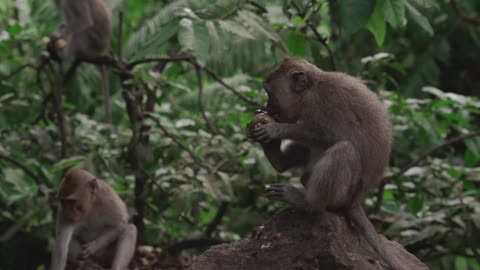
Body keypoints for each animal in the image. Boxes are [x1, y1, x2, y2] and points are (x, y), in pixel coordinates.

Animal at [249, 58, 410, 270]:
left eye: (270, 93)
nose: (267, 106)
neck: (310, 90)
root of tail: (355, 200)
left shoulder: (322, 104)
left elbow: (324, 134)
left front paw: (276, 129)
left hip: (344, 193)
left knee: (344, 150)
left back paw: (308, 202)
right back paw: (279, 161)